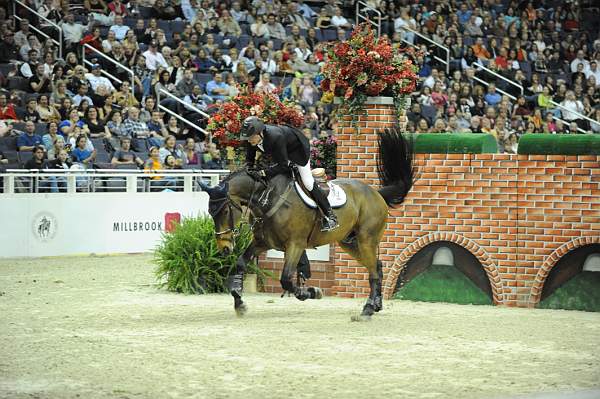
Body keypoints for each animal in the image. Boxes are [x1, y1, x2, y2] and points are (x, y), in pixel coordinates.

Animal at [204, 128, 414, 322]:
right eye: (210, 213)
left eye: (224, 212)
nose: (224, 248)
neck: (267, 198)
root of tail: (376, 193)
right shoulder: (262, 242)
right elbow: (240, 264)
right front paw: (239, 303)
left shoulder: (295, 245)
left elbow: (286, 279)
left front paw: (312, 292)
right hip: (349, 242)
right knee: (376, 267)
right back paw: (377, 305)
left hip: (366, 239)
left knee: (373, 273)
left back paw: (368, 309)